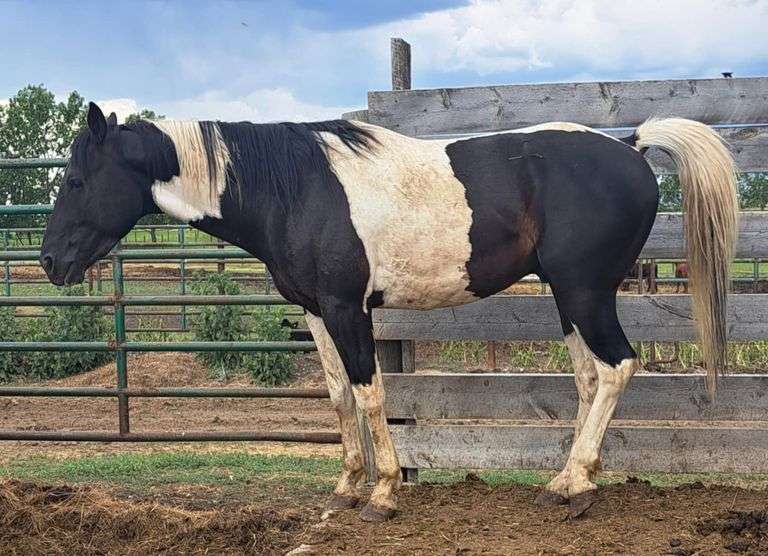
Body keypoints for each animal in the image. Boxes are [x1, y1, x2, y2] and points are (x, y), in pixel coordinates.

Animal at [39, 103, 738, 521]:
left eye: (75, 181)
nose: (50, 262)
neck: (295, 189)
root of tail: (633, 146)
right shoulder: (315, 312)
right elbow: (337, 396)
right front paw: (346, 485)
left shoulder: (349, 309)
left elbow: (370, 392)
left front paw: (381, 492)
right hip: (570, 299)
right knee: (590, 379)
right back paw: (572, 481)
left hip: (585, 293)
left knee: (618, 367)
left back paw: (576, 481)